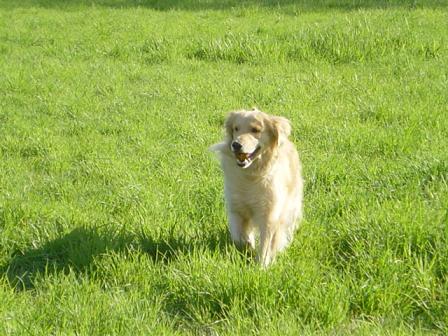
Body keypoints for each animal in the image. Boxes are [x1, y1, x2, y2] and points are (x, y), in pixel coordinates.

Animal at [211, 108, 304, 268]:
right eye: (236, 128)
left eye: (255, 130)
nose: (236, 145)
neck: (250, 177)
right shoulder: (236, 208)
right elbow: (239, 237)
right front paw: (246, 249)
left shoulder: (269, 214)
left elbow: (266, 243)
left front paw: (261, 266)